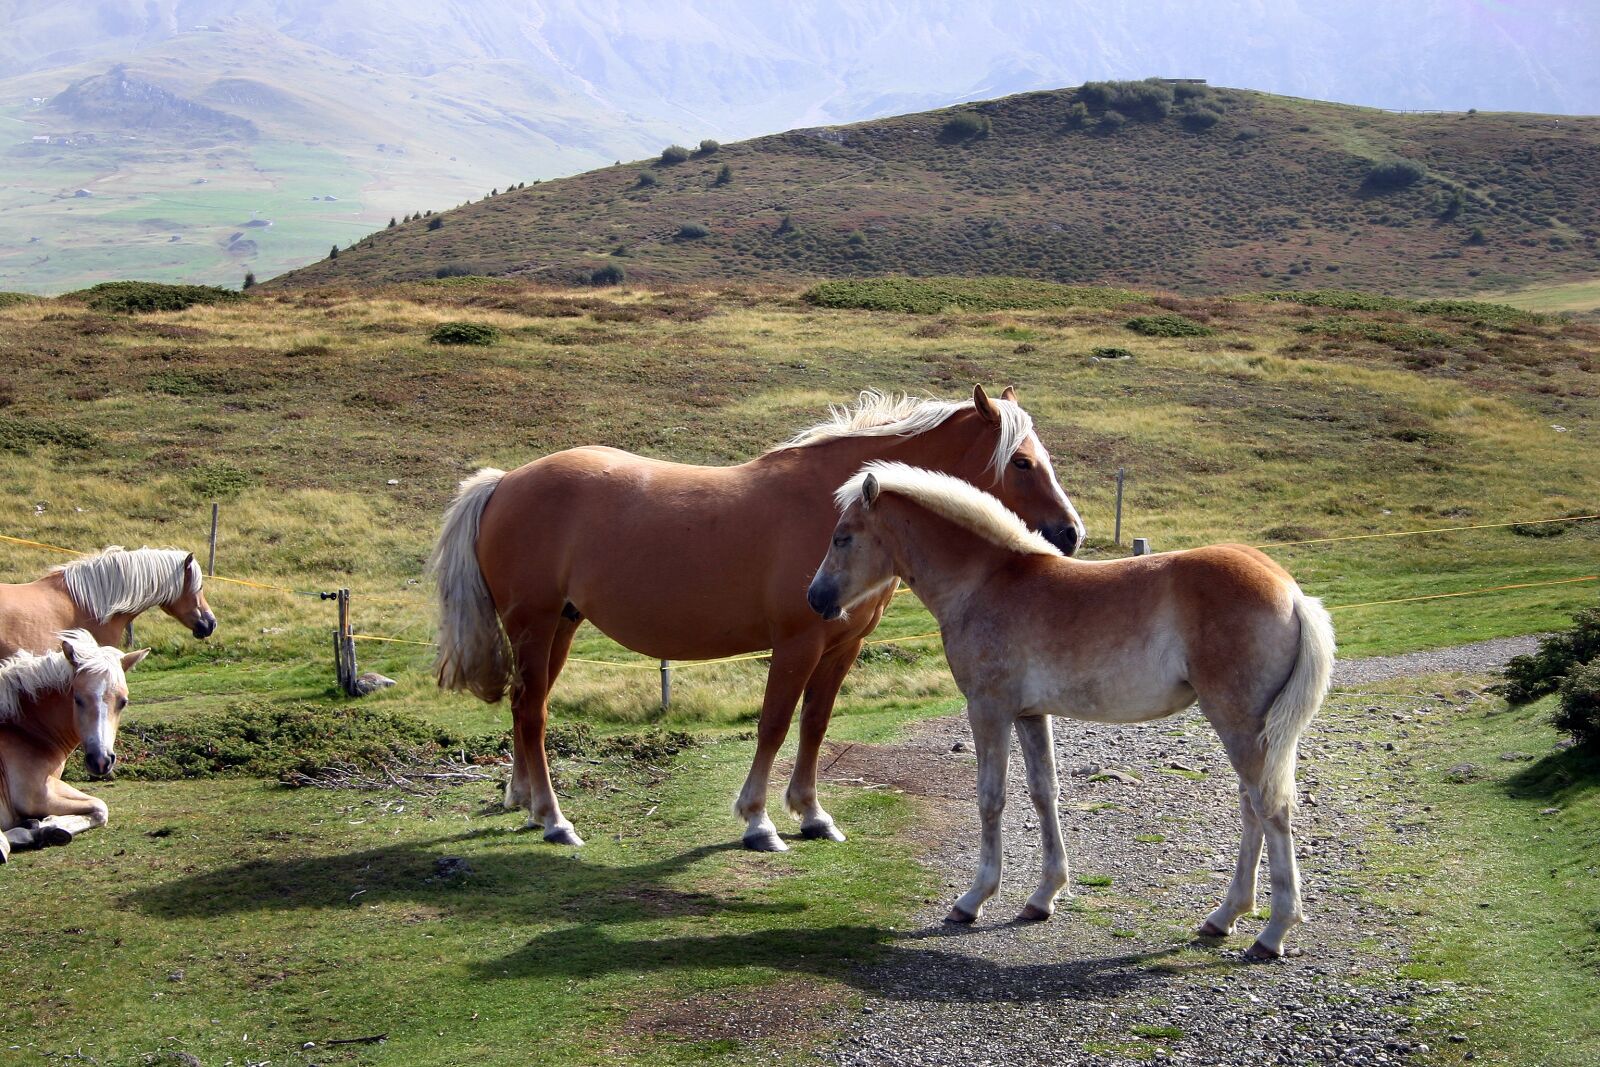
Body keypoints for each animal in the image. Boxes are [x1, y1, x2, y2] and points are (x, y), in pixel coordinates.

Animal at [0, 629, 149, 862]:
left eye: (123, 702)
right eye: (77, 699)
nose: (101, 760)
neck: (21, 731)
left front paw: (43, 827)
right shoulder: (36, 793)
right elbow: (100, 807)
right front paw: (49, 825)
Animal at [432, 386, 1087, 850]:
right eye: (1022, 463)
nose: (1070, 535)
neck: (831, 505)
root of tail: (504, 483)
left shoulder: (842, 646)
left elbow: (815, 724)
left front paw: (812, 814)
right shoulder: (796, 644)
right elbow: (773, 724)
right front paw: (758, 821)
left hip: (561, 625)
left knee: (527, 705)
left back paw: (524, 802)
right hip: (536, 624)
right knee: (532, 710)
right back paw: (553, 818)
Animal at [806, 463, 1334, 960]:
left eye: (842, 536)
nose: (816, 599)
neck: (985, 582)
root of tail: (1291, 592)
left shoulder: (988, 709)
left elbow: (991, 798)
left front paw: (974, 899)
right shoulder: (1029, 715)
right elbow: (1045, 793)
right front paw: (1043, 897)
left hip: (1239, 722)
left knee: (1270, 807)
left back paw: (1272, 932)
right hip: (1251, 730)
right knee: (1251, 806)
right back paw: (1224, 916)